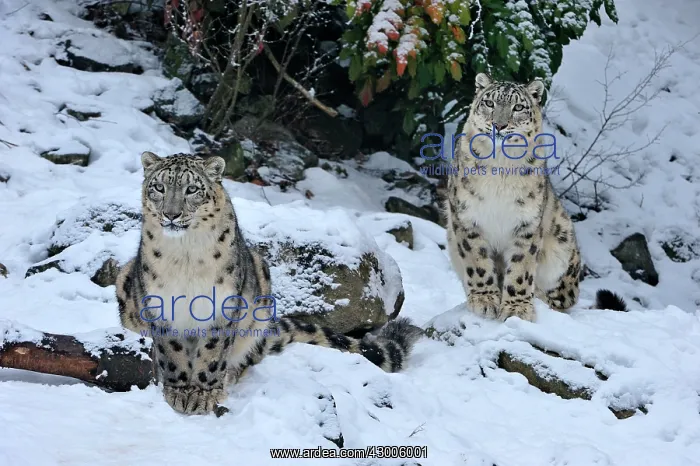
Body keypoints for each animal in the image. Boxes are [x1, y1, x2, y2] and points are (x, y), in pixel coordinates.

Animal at [116, 152, 423, 415]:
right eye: (158, 187)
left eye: (192, 189)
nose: (171, 214)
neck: (186, 255)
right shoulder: (161, 303)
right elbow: (172, 351)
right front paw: (180, 391)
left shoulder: (222, 304)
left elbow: (213, 352)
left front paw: (202, 393)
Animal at [445, 73, 627, 322]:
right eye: (489, 103)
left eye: (518, 107)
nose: (499, 125)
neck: (500, 168)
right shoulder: (467, 217)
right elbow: (478, 262)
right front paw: (485, 300)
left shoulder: (527, 223)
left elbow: (521, 268)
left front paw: (517, 309)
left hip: (563, 243)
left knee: (562, 299)